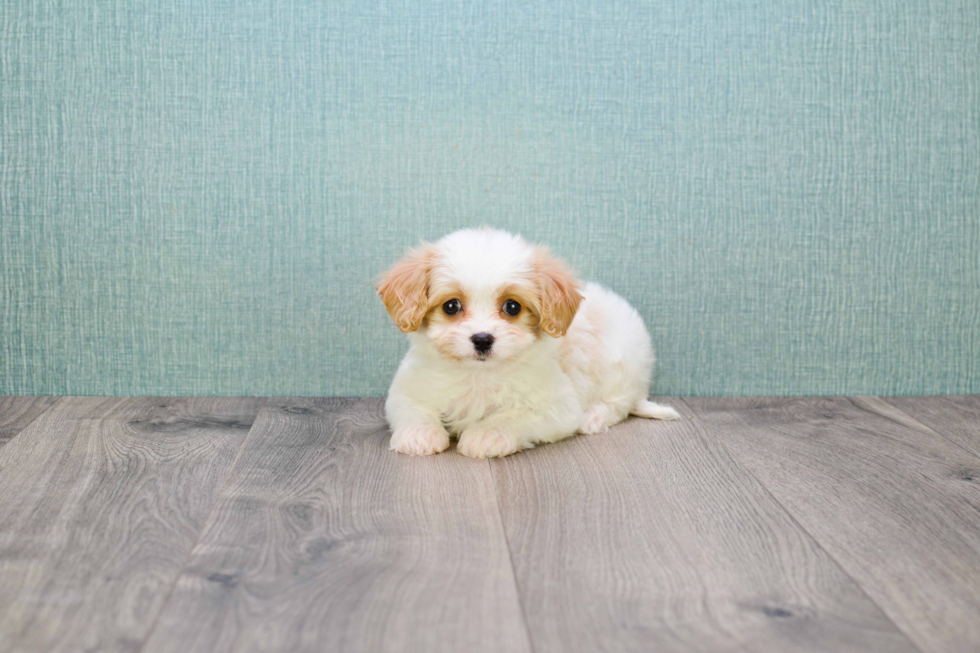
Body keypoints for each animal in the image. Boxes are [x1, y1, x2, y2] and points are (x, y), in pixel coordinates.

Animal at [378, 229, 680, 458]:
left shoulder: (556, 406)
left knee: (619, 404)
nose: (482, 339)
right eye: (451, 306)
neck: (479, 374)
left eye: (512, 307)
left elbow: (513, 416)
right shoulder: (408, 388)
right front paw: (420, 434)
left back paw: (594, 417)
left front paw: (487, 434)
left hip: (620, 359)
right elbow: (414, 408)